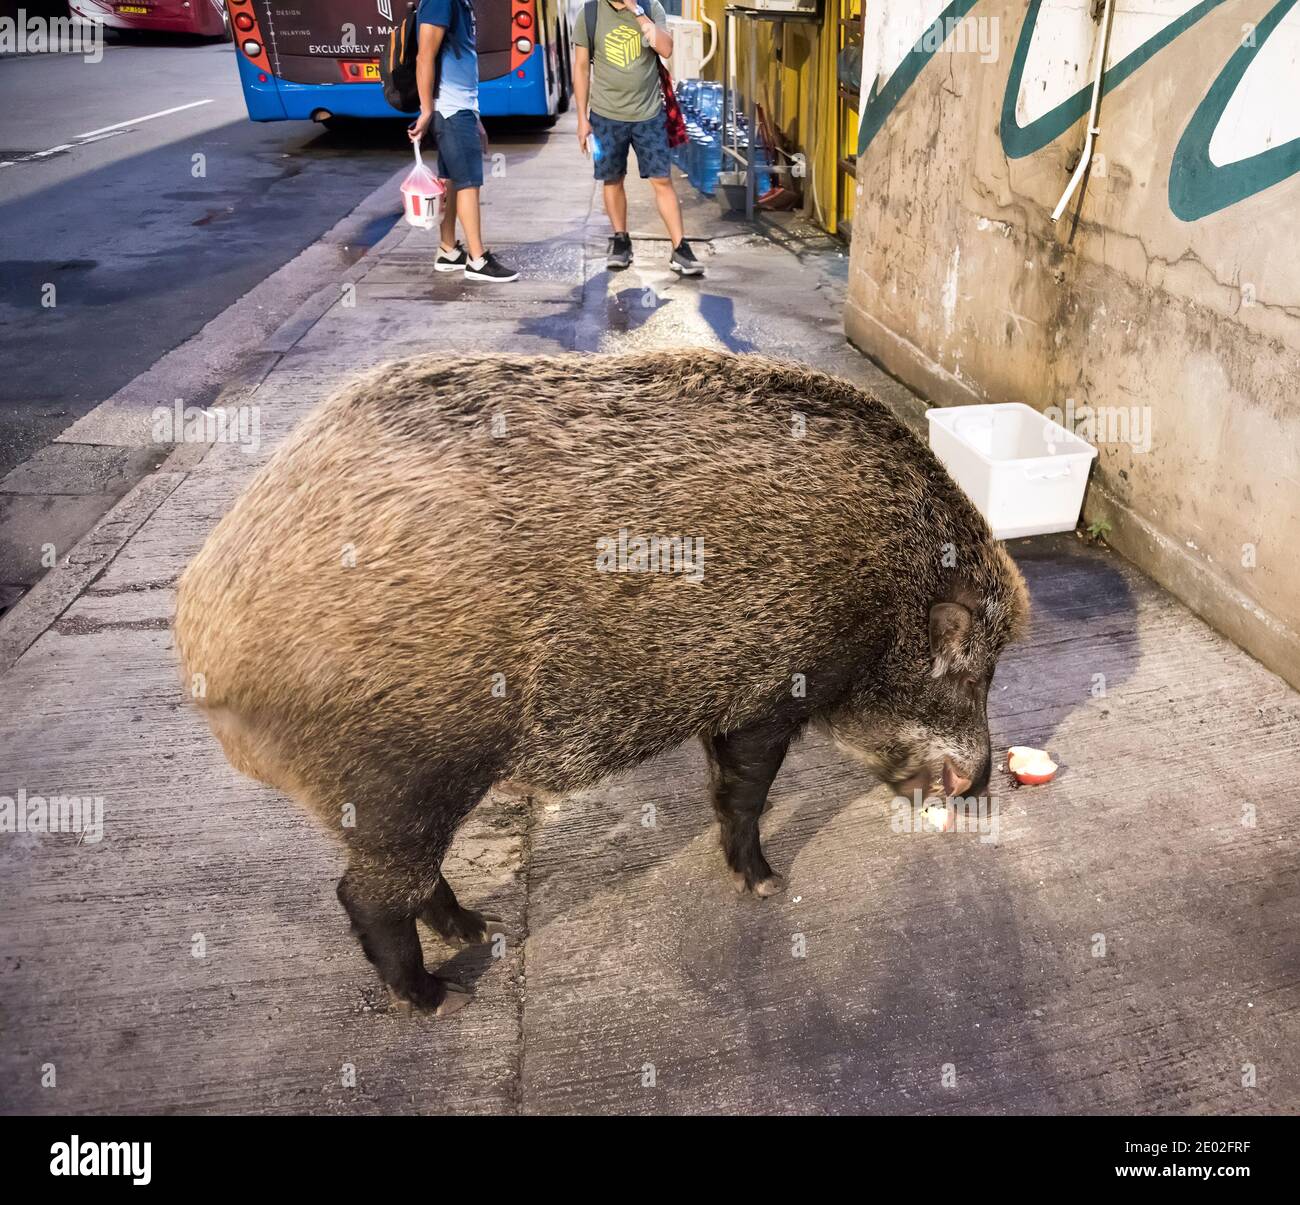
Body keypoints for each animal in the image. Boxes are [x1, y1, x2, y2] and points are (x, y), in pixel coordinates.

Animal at [174, 350, 1029, 1015]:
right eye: (973, 672)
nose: (987, 780)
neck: (889, 595)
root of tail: (201, 630)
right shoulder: (772, 684)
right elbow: (748, 791)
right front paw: (765, 884)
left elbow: (725, 785)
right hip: (404, 775)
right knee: (365, 893)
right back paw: (440, 996)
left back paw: (478, 931)